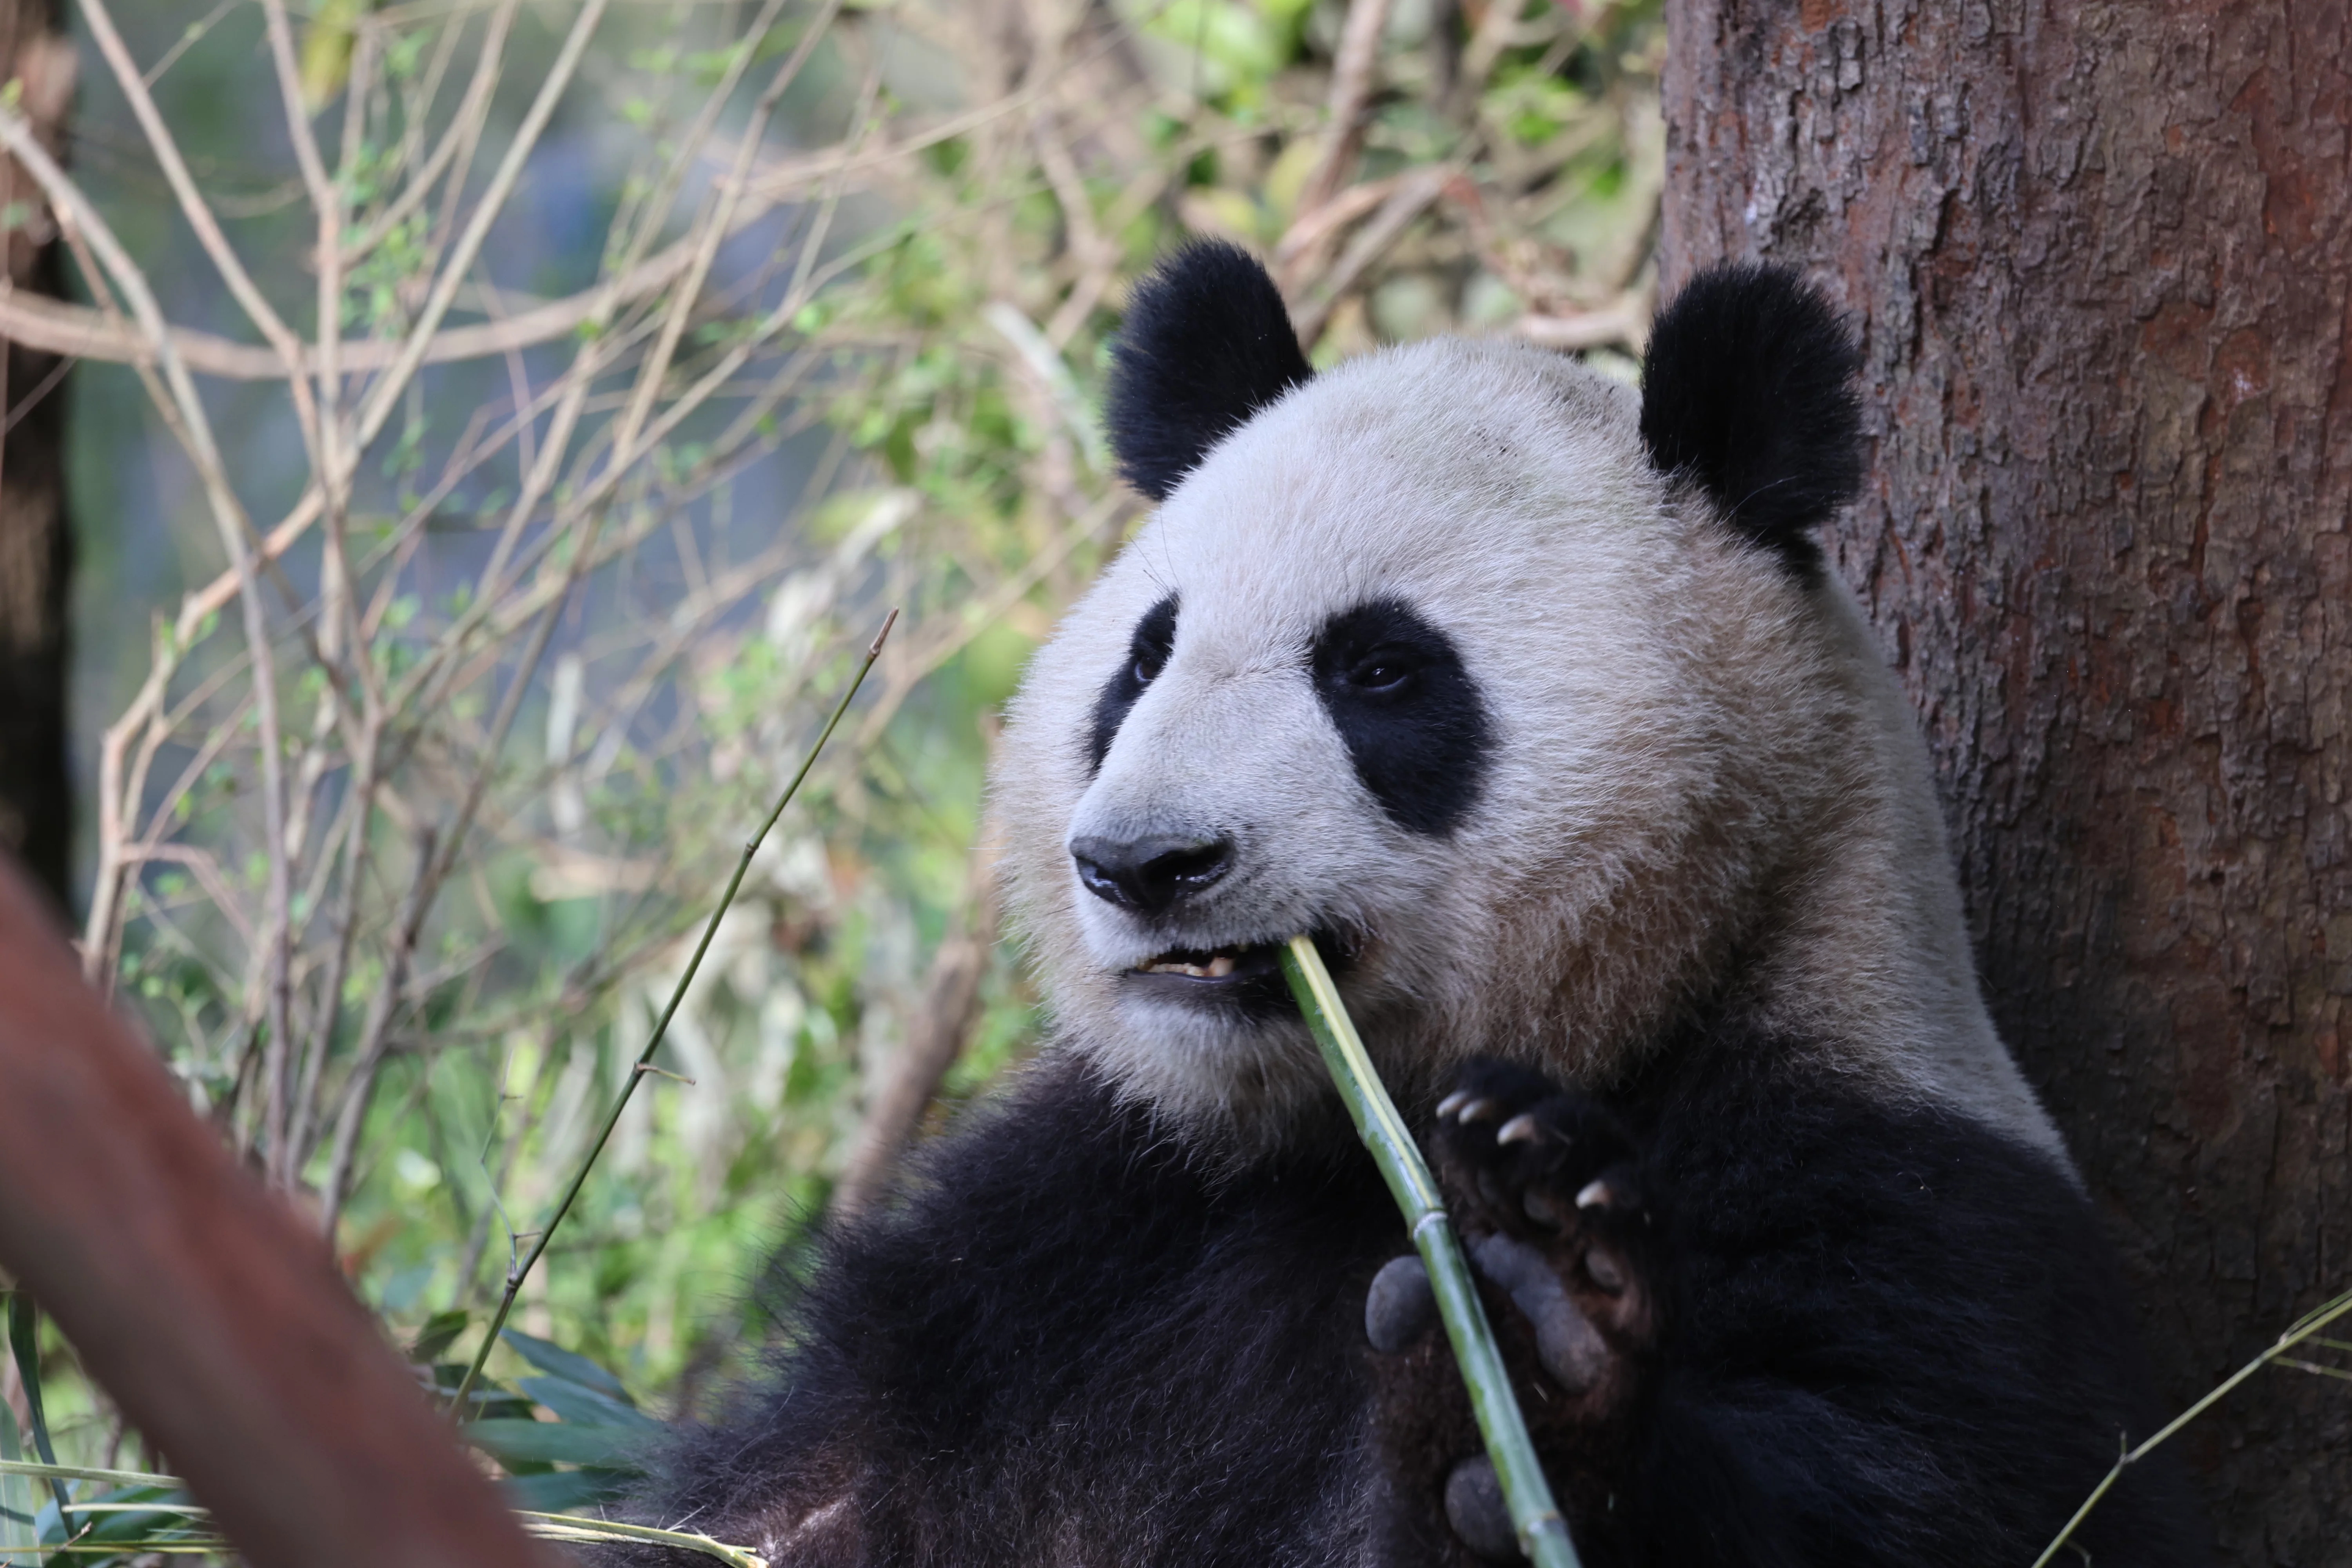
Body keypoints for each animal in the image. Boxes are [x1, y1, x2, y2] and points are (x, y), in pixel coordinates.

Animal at [622, 243, 2209, 1567]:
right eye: (1143, 659)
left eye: (1380, 670)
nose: (1143, 861)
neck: (1346, 1147)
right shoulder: (1054, 1243)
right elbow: (788, 1500)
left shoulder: (1909, 1197)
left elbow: (1922, 1489)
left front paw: (1535, 1343)